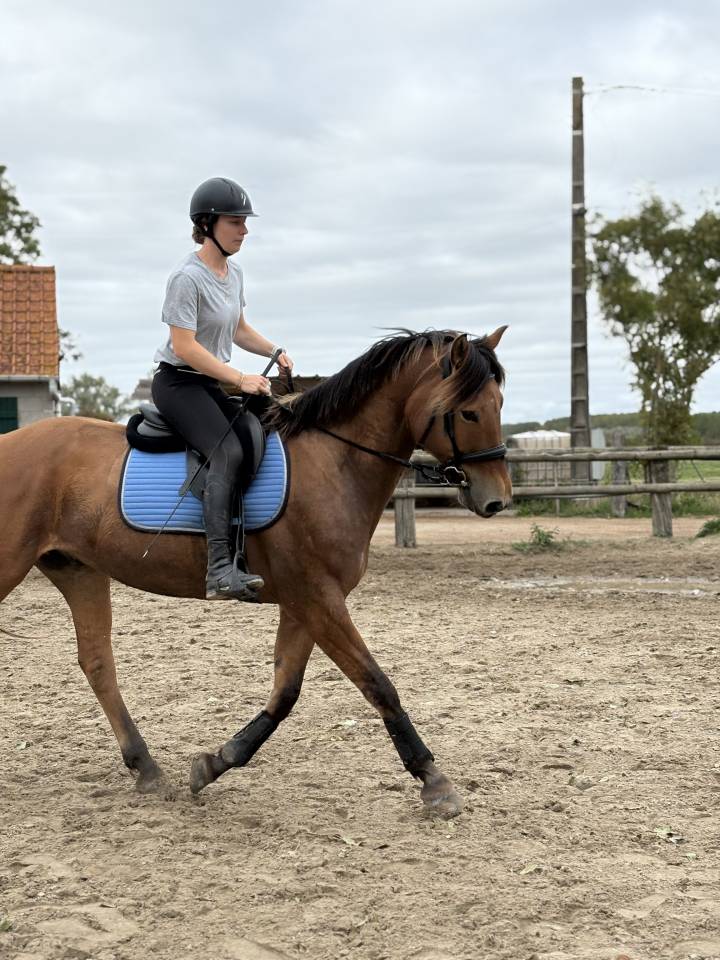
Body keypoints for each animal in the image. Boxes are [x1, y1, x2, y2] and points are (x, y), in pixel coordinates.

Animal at [0, 327, 511, 818]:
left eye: (500, 405)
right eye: (468, 413)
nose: (497, 500)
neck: (334, 462)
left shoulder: (304, 602)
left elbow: (285, 692)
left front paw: (215, 763)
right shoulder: (318, 598)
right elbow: (377, 683)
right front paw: (433, 780)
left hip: (79, 571)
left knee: (97, 663)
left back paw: (146, 768)